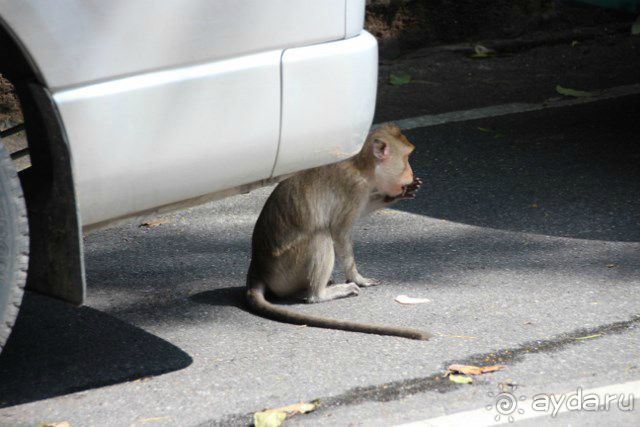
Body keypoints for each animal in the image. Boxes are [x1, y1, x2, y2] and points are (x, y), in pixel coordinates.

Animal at [245, 123, 430, 342]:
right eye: (406, 158)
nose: (410, 172)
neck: (361, 167)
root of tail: (257, 268)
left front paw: (401, 193)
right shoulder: (355, 188)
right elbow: (339, 232)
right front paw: (358, 278)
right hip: (284, 271)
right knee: (321, 236)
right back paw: (321, 293)